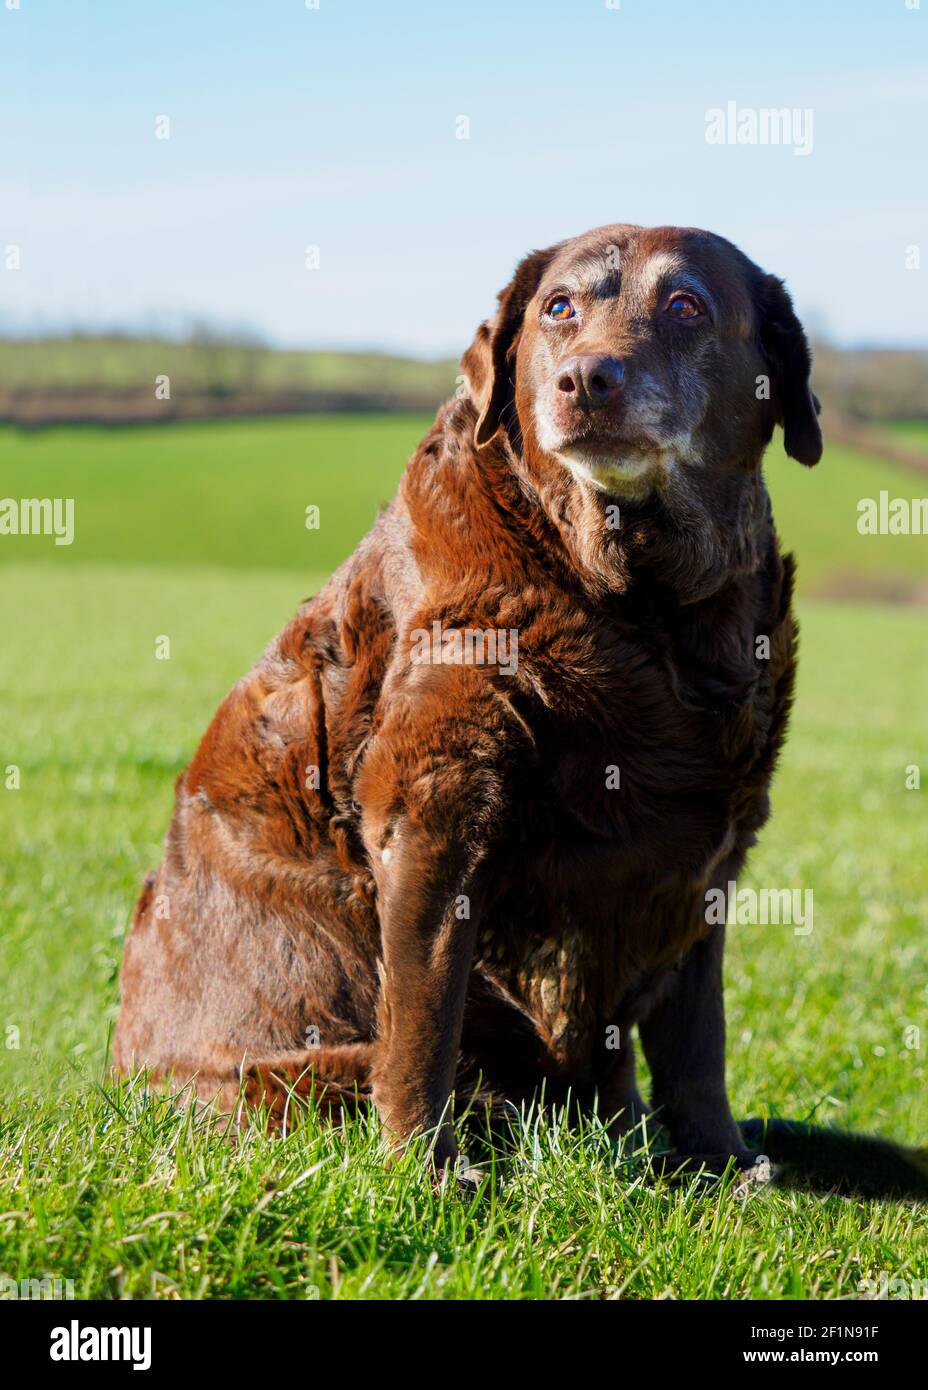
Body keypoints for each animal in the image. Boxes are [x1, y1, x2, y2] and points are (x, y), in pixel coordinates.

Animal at [110, 222, 827, 1178]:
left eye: (685, 306)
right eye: (558, 308)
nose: (585, 379)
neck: (635, 599)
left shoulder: (712, 849)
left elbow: (697, 1038)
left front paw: (720, 1165)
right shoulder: (434, 804)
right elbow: (423, 1022)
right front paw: (422, 1172)